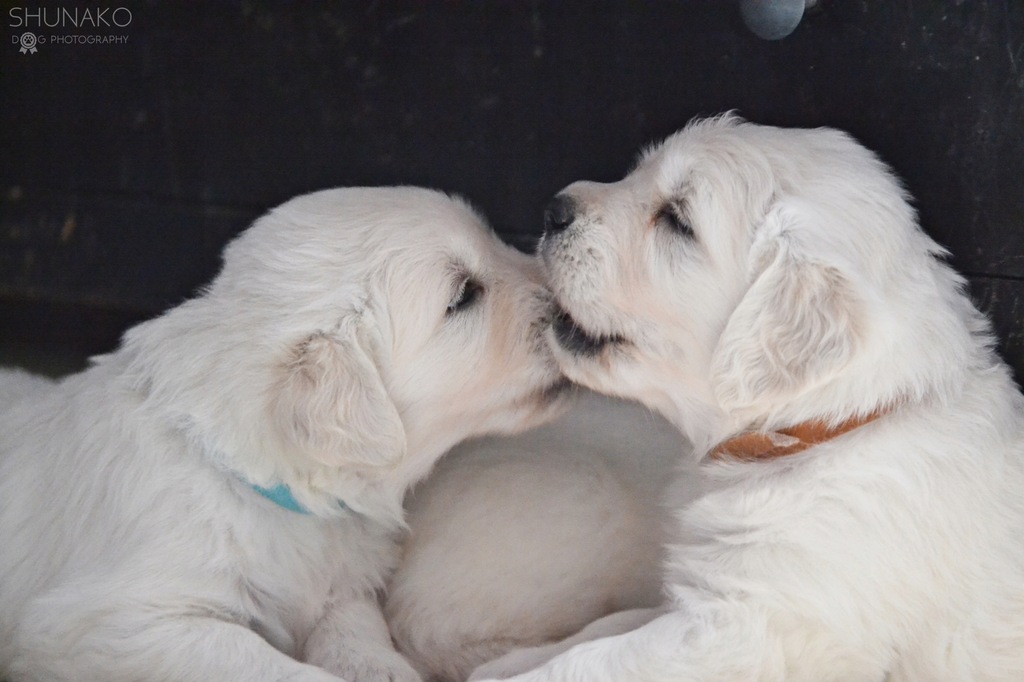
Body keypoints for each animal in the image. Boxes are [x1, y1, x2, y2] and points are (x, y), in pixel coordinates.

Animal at [0, 186, 569, 679]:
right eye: (463, 295)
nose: (570, 311)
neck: (252, 481)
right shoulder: (109, 618)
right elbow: (260, 660)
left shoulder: (344, 586)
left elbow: (356, 633)